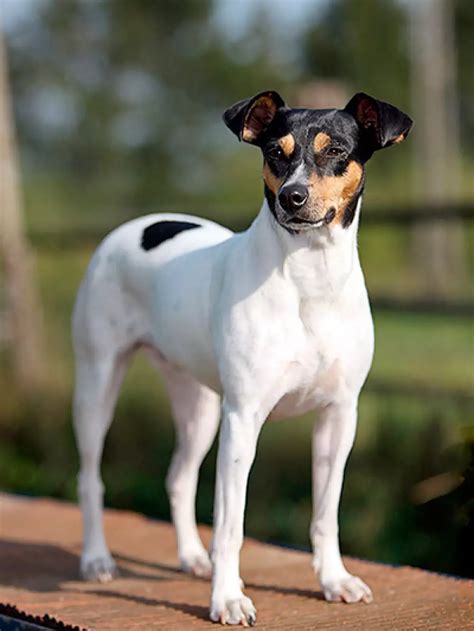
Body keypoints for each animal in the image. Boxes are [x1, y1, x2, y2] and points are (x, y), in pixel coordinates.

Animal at [72, 90, 412, 628]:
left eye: (336, 150)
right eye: (275, 152)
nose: (293, 197)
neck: (309, 280)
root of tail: (134, 226)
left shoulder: (339, 417)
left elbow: (325, 514)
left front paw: (333, 580)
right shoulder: (243, 420)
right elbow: (231, 526)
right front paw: (228, 598)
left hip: (199, 407)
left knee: (178, 477)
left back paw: (192, 555)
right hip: (97, 387)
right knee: (90, 479)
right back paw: (97, 559)